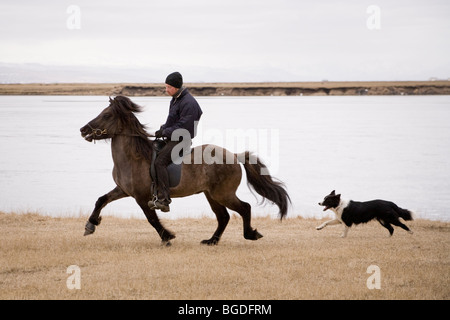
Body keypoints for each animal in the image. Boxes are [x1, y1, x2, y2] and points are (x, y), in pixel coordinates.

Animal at [80, 95, 292, 245]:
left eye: (106, 115)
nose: (83, 130)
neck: (134, 158)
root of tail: (233, 155)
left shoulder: (141, 197)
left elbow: (152, 219)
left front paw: (167, 237)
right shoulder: (124, 190)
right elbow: (101, 200)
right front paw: (90, 225)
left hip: (223, 194)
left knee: (244, 208)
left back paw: (250, 234)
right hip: (211, 195)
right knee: (223, 217)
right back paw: (211, 241)